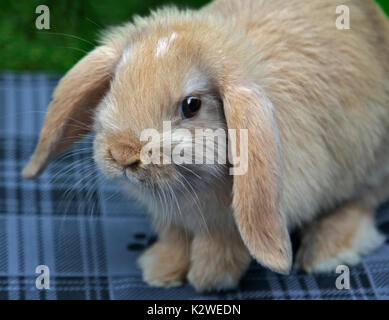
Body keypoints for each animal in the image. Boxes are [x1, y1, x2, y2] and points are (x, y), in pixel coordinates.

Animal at [22, 0, 388, 292]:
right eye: (114, 84)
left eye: (192, 105)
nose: (123, 154)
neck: (189, 189)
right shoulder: (170, 218)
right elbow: (173, 238)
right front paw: (159, 271)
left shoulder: (230, 223)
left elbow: (222, 244)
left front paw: (208, 279)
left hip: (368, 164)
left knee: (358, 203)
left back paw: (328, 252)